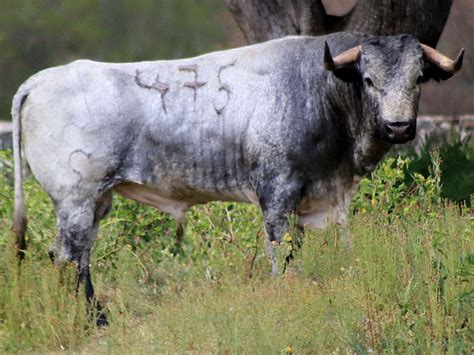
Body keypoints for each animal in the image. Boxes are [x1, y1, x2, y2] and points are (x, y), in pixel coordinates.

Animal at [12, 32, 462, 326]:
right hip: (76, 198)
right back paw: (88, 322)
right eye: (369, 79)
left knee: (80, 257)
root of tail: (42, 79)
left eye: (418, 78)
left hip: (96, 203)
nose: (399, 127)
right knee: (69, 257)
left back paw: (98, 317)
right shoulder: (278, 192)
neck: (320, 90)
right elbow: (281, 252)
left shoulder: (323, 199)